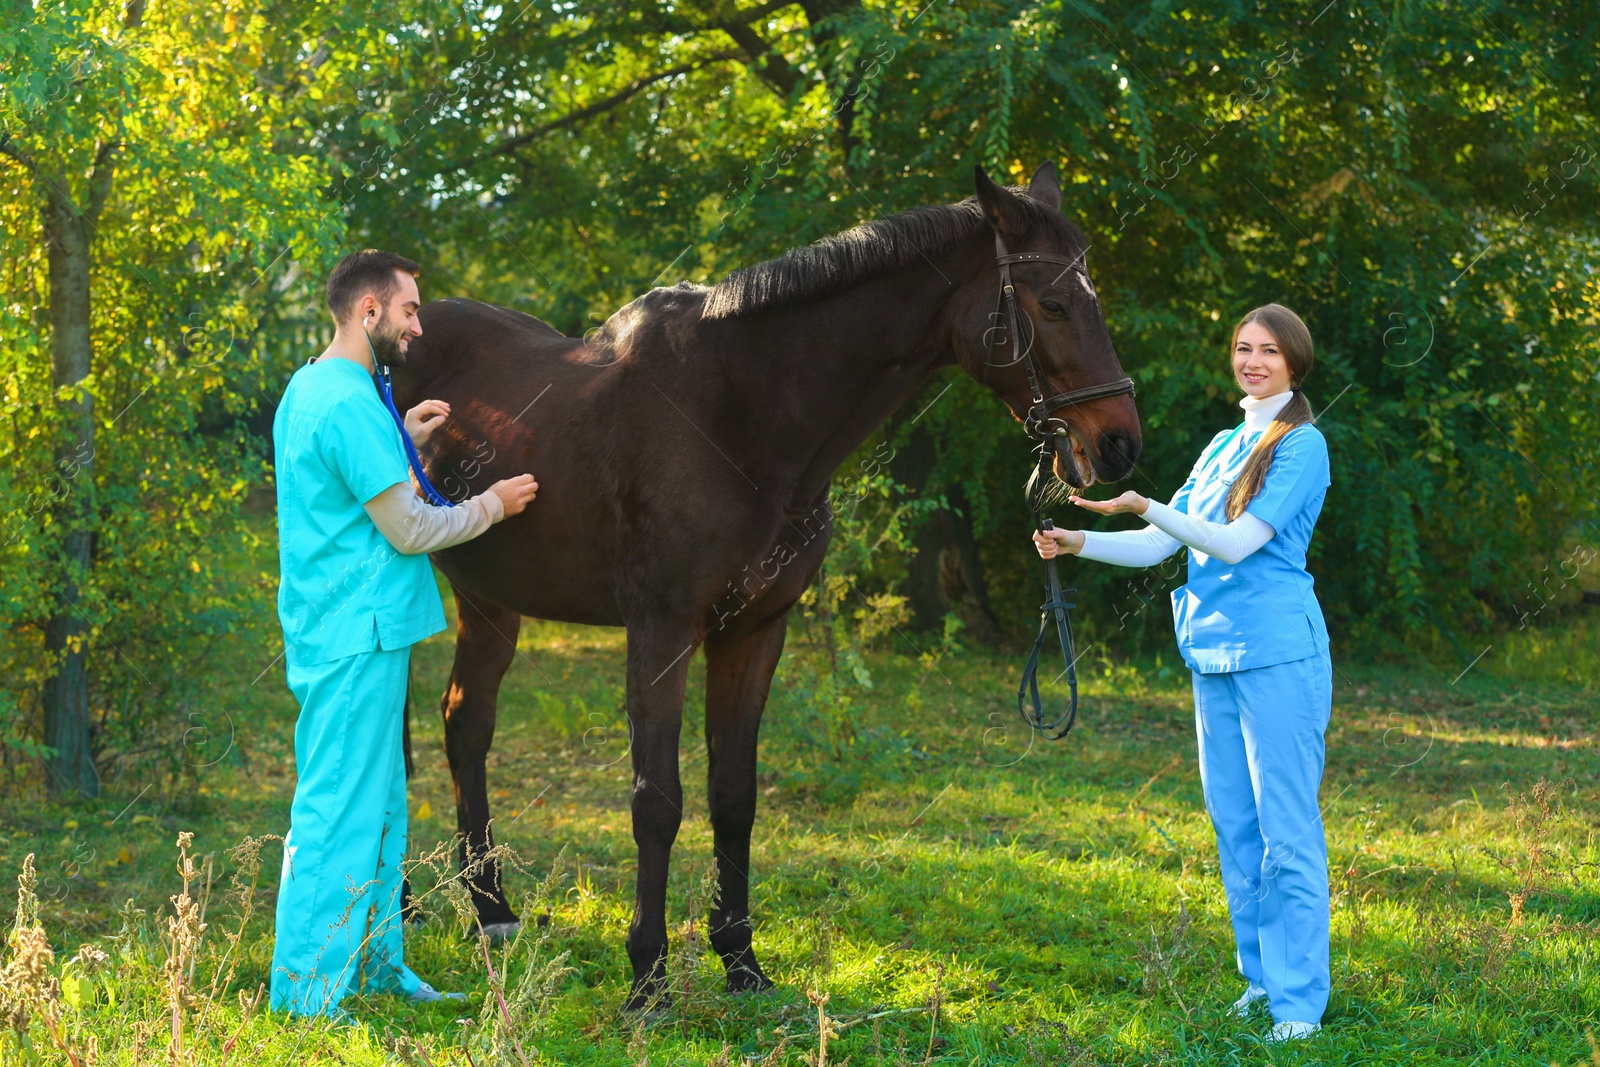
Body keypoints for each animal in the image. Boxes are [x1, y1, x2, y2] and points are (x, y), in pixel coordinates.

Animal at [390, 160, 1139, 1011]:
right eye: (1052, 304)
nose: (1120, 443)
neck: (744, 415)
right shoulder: (661, 629)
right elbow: (657, 799)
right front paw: (647, 976)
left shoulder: (753, 631)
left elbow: (733, 796)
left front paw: (741, 960)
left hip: (490, 599)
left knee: (464, 725)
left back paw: (491, 910)